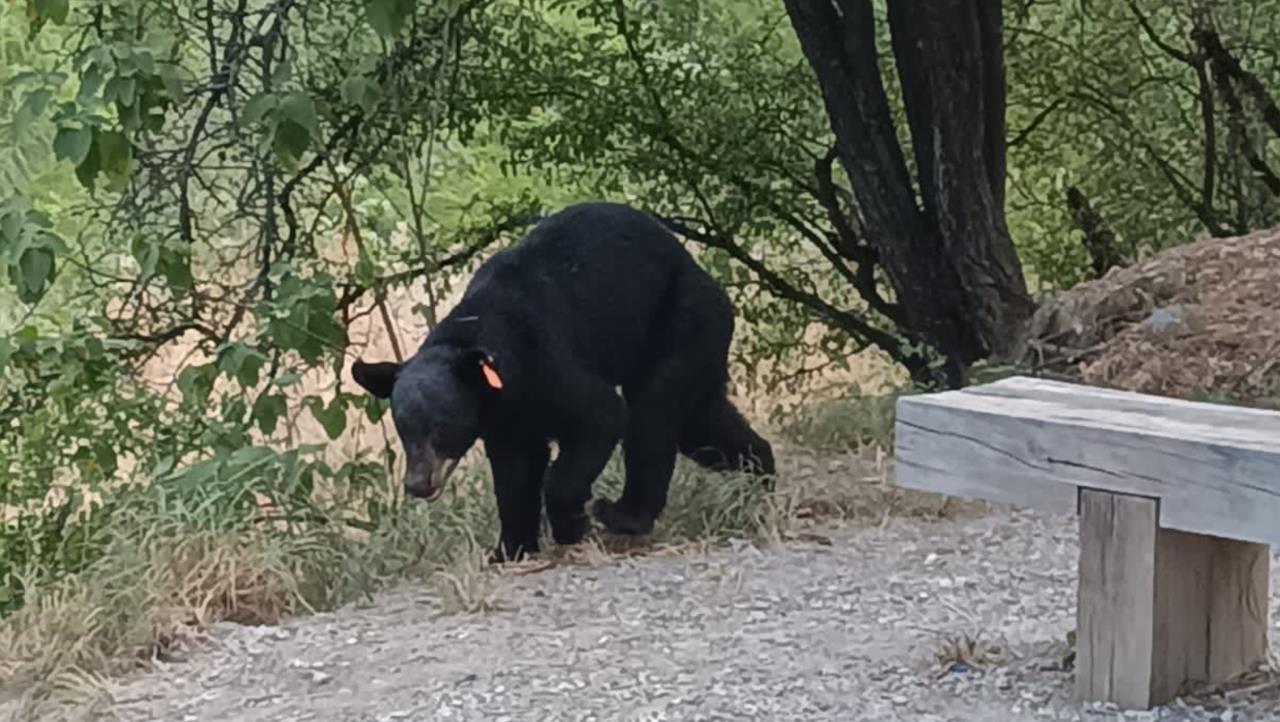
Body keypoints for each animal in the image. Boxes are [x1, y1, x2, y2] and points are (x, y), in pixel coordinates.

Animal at [348, 199, 768, 560]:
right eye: (403, 427)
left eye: (441, 425)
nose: (418, 484)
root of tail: (706, 278)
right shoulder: (505, 417)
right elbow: (514, 473)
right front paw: (509, 548)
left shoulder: (548, 361)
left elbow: (600, 417)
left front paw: (570, 524)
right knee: (700, 424)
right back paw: (762, 474)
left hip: (681, 323)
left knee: (652, 415)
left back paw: (624, 514)